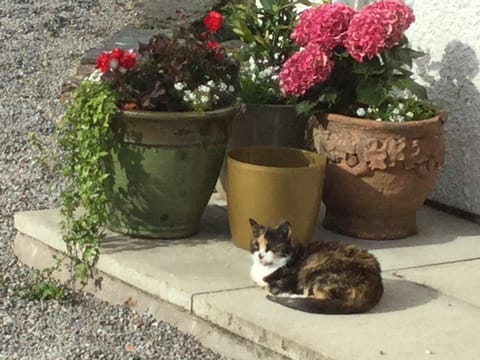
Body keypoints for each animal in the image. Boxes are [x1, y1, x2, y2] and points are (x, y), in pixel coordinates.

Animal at [249, 218, 384, 314]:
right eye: (256, 245)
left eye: (271, 247)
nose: (260, 255)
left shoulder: (290, 280)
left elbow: (272, 287)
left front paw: (280, 292)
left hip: (314, 266)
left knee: (320, 297)